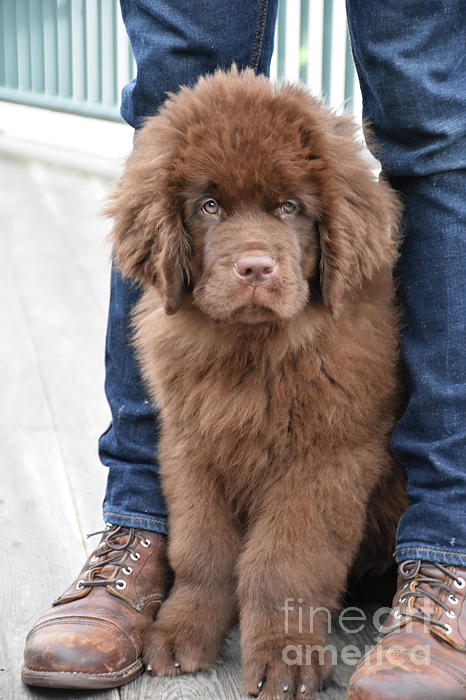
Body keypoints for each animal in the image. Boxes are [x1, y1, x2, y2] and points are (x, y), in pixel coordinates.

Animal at [108, 67, 408, 700]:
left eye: (290, 207)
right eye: (210, 206)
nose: (254, 268)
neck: (252, 354)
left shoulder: (324, 457)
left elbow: (284, 562)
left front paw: (286, 656)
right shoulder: (190, 446)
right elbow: (202, 550)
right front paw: (183, 631)